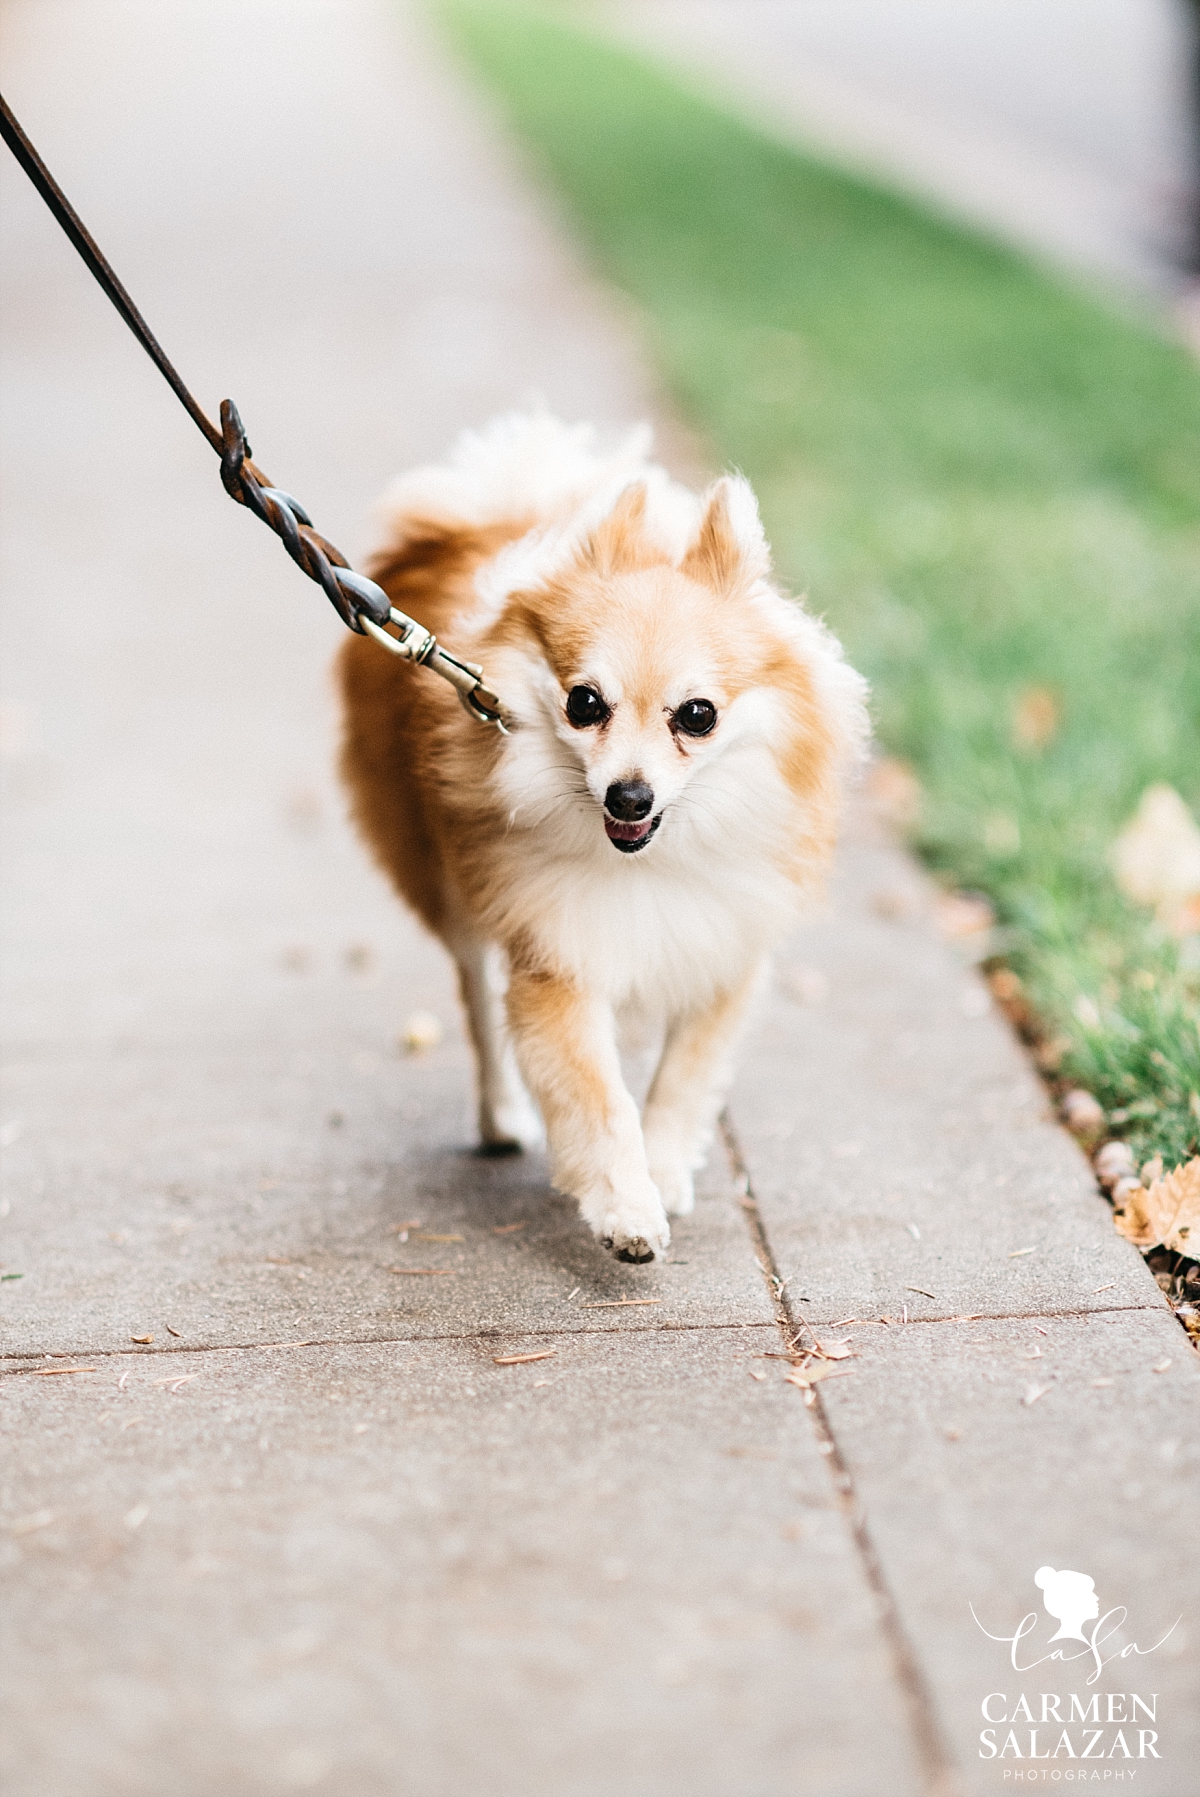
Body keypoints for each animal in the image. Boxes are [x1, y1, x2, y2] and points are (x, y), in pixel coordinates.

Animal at [335, 418, 862, 1265]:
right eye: (584, 703)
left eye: (698, 715)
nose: (629, 795)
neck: (652, 859)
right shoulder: (558, 955)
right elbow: (596, 1093)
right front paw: (625, 1207)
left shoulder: (723, 949)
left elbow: (682, 1079)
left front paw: (666, 1168)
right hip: (450, 886)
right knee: (478, 1003)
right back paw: (501, 1116)